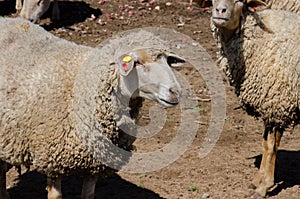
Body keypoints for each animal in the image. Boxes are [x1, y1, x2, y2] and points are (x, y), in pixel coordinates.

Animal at [0, 17, 186, 199]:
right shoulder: (52, 158)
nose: (176, 92)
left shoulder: (96, 161)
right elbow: (56, 195)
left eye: (168, 61)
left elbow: (88, 194)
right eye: (138, 62)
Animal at [211, 0, 300, 197]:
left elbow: (272, 146)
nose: (220, 10)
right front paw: (257, 180)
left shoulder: (277, 101)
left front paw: (264, 186)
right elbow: (266, 144)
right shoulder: (272, 104)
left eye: (238, 2)